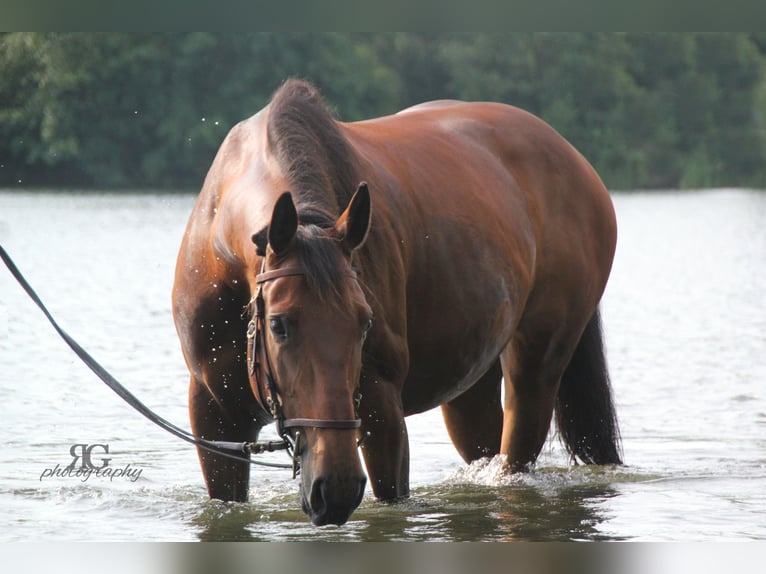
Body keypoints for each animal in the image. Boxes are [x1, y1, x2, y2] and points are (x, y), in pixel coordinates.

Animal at [171, 79, 620, 528]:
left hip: (535, 370)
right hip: (470, 386)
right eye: (279, 324)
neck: (221, 255)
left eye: (364, 324)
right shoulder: (215, 422)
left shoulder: (382, 411)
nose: (335, 488)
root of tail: (574, 159)